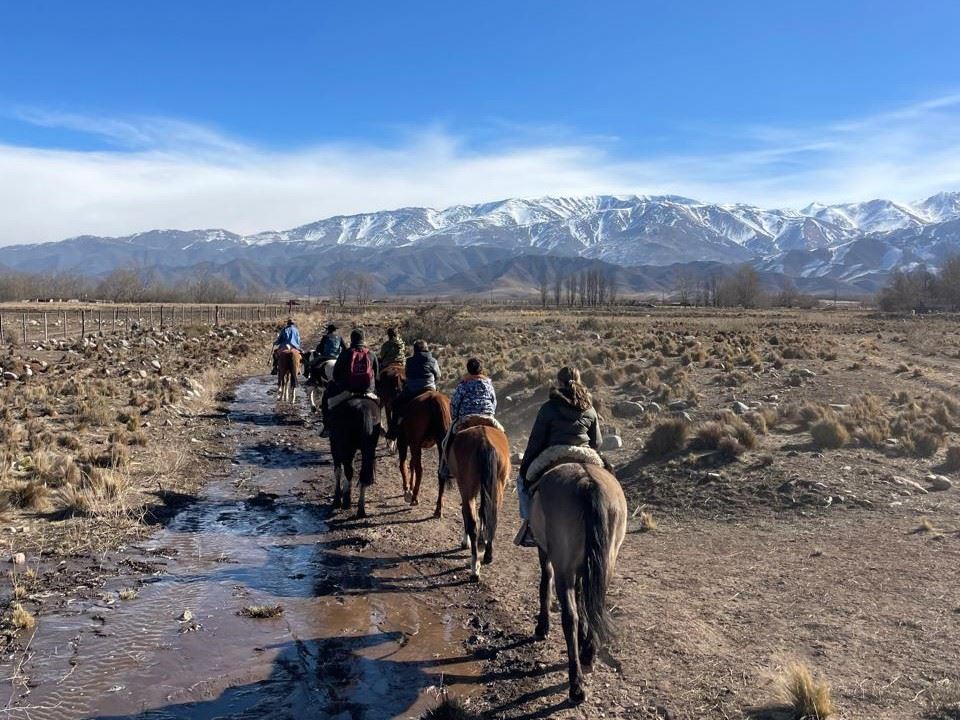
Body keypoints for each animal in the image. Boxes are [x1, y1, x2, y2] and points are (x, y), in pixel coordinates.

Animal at [402, 388, 454, 516]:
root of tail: (434, 399)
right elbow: (411, 463)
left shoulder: (407, 443)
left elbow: (405, 464)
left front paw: (408, 489)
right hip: (441, 444)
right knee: (440, 473)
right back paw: (438, 509)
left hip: (415, 443)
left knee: (419, 469)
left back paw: (415, 498)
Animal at [448, 422, 512, 580]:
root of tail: (484, 442)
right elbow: (483, 511)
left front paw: (465, 542)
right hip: (497, 486)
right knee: (492, 518)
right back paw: (488, 555)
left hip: (468, 488)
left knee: (472, 522)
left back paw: (474, 568)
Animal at [528, 462, 628, 704]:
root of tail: (587, 482)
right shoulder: (586, 569)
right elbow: (584, 598)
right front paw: (584, 637)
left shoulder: (545, 553)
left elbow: (545, 583)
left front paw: (542, 627)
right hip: (606, 562)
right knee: (595, 607)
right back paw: (588, 654)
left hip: (564, 568)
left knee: (569, 617)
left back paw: (576, 684)